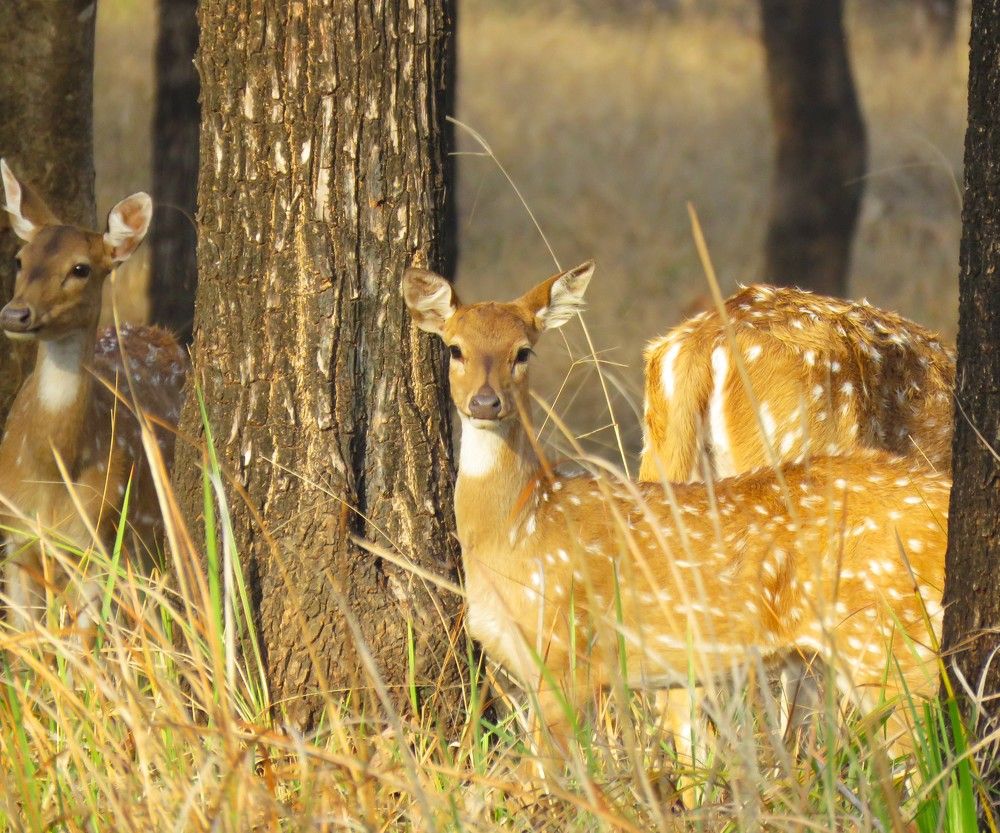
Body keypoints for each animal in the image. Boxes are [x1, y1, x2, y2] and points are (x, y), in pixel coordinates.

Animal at [0, 160, 187, 634]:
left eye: (81, 268)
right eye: (20, 260)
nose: (15, 313)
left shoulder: (97, 539)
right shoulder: (16, 538)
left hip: (147, 541)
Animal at [402, 261, 949, 789]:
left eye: (523, 352)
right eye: (453, 347)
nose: (485, 402)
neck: (522, 524)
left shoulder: (564, 655)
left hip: (888, 639)